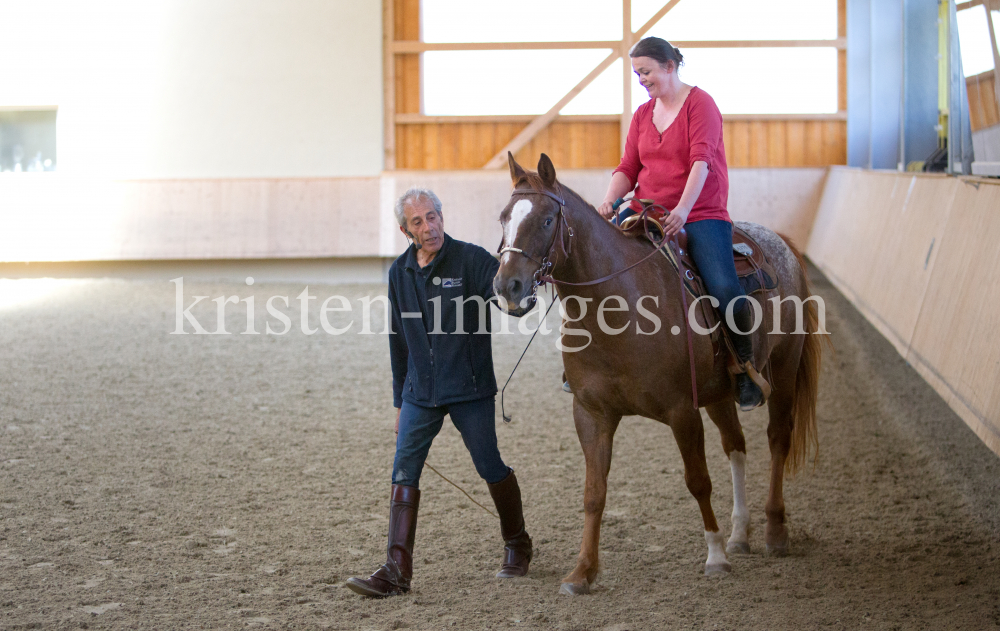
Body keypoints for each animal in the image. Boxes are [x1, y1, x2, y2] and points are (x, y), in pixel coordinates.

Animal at [492, 153, 820, 596]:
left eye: (546, 220)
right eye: (503, 218)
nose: (507, 286)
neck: (619, 307)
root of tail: (781, 242)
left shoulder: (682, 412)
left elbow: (698, 480)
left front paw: (715, 556)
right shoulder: (591, 414)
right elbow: (594, 493)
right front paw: (582, 572)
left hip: (783, 371)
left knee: (777, 440)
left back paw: (774, 531)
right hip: (719, 393)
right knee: (736, 446)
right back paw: (740, 534)